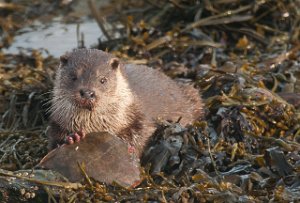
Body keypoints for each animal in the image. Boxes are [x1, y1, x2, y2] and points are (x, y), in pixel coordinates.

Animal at [47, 49, 204, 157]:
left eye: (103, 79)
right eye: (73, 77)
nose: (87, 92)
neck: (94, 125)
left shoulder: (139, 117)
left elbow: (142, 133)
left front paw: (128, 145)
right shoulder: (58, 121)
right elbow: (53, 138)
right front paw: (72, 137)